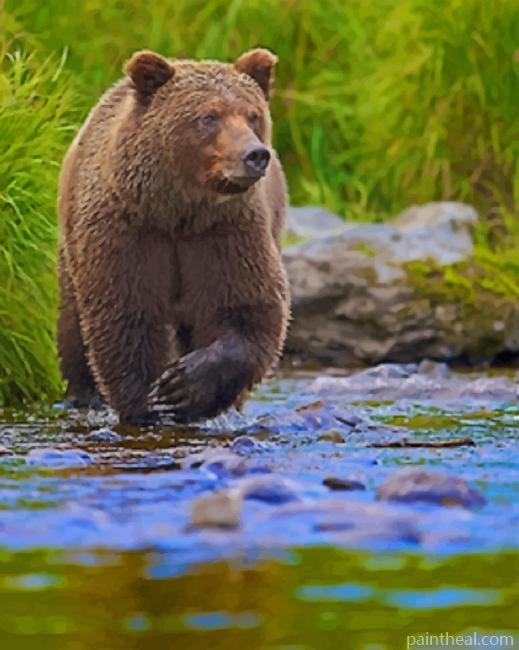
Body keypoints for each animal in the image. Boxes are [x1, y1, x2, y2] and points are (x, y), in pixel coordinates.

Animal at [57, 48, 290, 425]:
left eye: (253, 115)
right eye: (209, 117)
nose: (255, 155)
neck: (177, 213)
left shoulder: (227, 232)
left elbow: (249, 308)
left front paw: (184, 386)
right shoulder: (127, 232)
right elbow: (126, 315)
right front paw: (147, 404)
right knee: (73, 326)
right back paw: (82, 396)